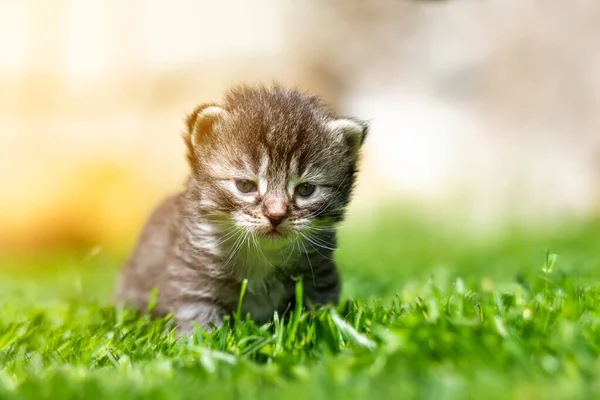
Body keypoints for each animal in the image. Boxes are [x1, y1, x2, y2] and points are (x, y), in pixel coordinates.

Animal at [112, 85, 366, 334]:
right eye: (245, 186)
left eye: (306, 190)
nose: (276, 215)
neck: (262, 257)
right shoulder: (192, 280)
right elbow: (199, 321)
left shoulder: (319, 278)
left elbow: (316, 314)